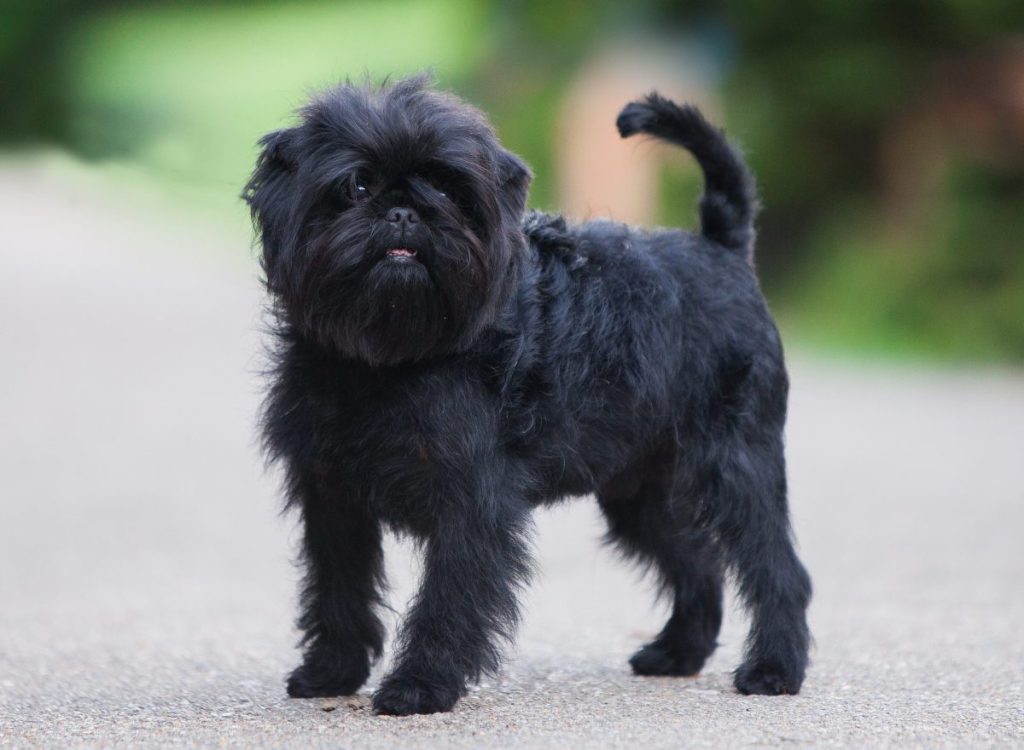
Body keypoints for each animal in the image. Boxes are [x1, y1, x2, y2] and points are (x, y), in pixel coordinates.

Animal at [245, 74, 806, 713]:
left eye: (449, 189)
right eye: (356, 184)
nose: (405, 210)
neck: (386, 358)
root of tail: (722, 250)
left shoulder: (471, 501)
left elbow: (448, 596)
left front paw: (420, 685)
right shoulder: (332, 496)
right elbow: (338, 587)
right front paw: (332, 672)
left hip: (736, 465)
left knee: (777, 569)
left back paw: (774, 668)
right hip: (641, 491)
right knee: (698, 561)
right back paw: (678, 654)